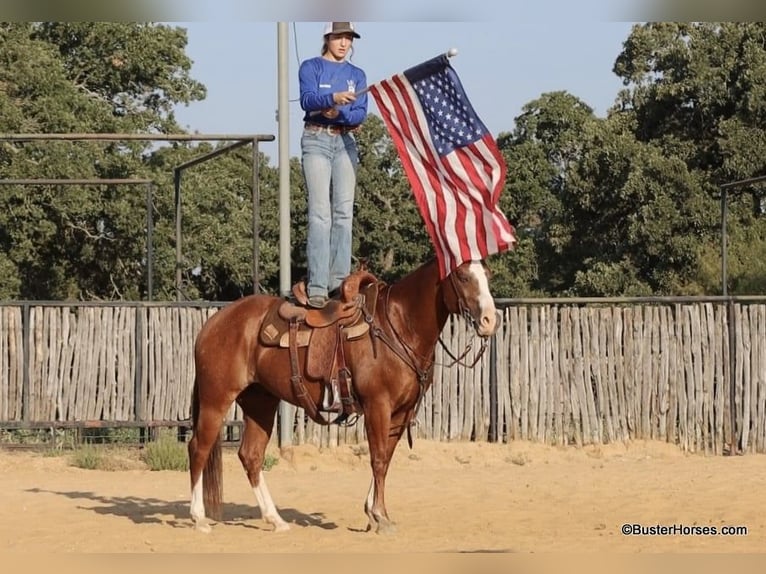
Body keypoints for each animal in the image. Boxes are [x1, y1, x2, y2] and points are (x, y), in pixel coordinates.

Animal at [189, 258, 500, 532]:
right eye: (462, 277)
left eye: (487, 275)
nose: (489, 320)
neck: (399, 325)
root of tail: (212, 323)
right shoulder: (378, 406)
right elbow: (377, 459)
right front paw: (380, 516)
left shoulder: (401, 412)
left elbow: (386, 459)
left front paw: (373, 513)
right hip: (216, 399)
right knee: (199, 448)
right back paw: (199, 518)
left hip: (260, 402)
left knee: (251, 456)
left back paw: (275, 520)